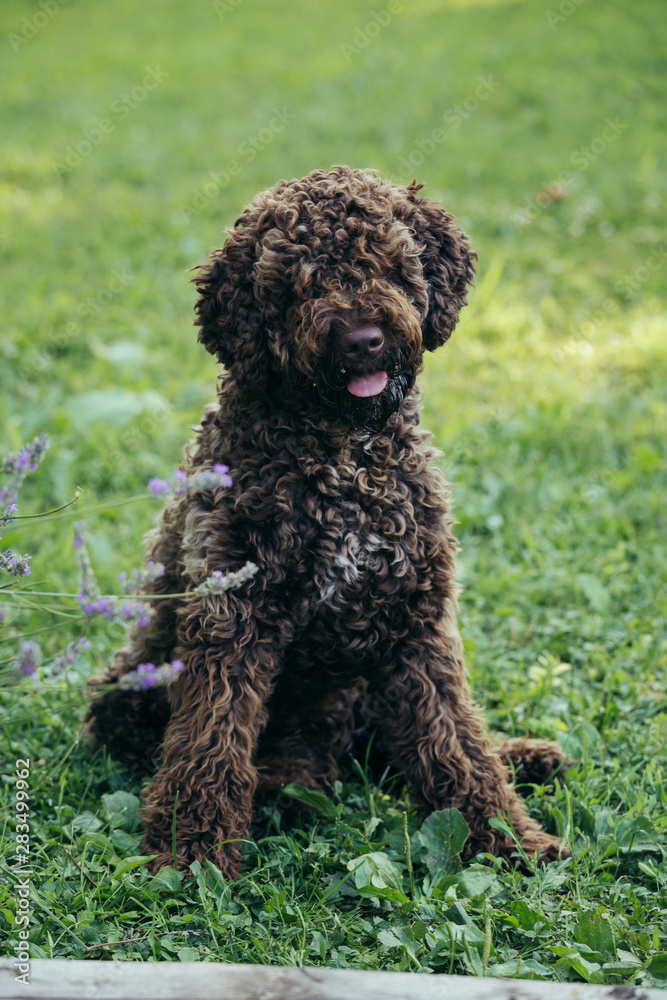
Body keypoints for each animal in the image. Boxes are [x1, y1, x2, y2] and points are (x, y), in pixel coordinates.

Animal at [87, 164, 568, 876]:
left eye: (388, 263)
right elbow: (209, 741)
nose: (363, 340)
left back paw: (523, 755)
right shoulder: (230, 622)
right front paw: (189, 851)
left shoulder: (416, 620)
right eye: (297, 283)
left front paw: (506, 838)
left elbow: (455, 740)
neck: (342, 458)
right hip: (133, 694)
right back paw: (285, 788)